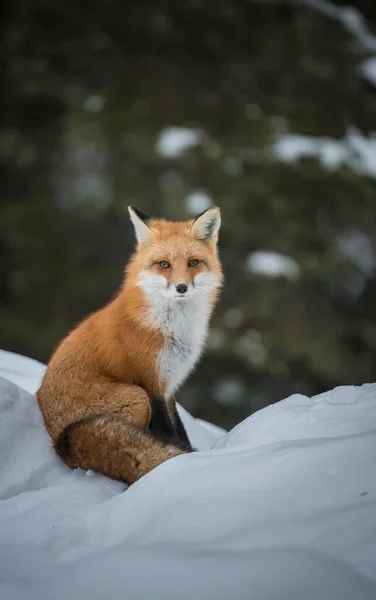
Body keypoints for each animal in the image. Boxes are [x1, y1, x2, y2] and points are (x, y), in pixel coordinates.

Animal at [36, 206, 222, 482]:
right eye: (164, 264)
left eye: (193, 263)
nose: (181, 287)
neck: (168, 327)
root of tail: (59, 445)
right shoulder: (149, 382)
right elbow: (169, 431)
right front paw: (181, 459)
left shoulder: (168, 385)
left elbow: (179, 428)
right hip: (136, 397)